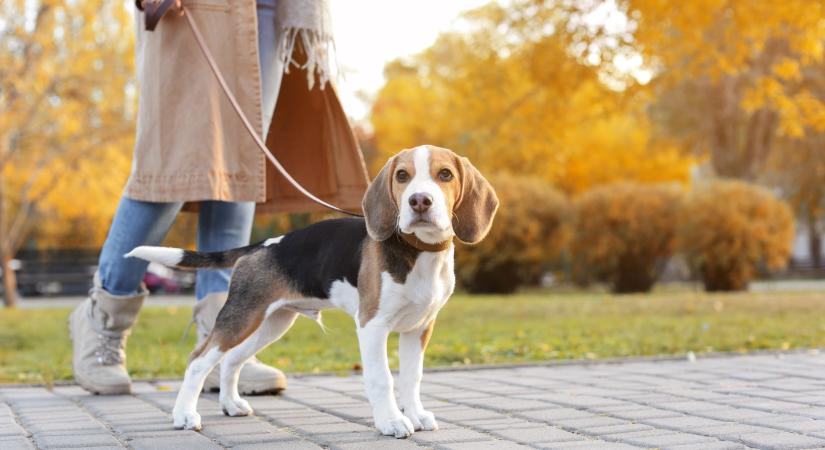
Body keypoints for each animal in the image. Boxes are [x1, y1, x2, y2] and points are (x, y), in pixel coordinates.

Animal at [126, 146, 498, 438]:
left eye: (445, 174)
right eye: (403, 176)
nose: (420, 201)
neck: (420, 251)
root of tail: (261, 245)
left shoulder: (419, 328)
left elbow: (412, 377)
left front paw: (416, 415)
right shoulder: (372, 326)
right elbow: (383, 379)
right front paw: (391, 422)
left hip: (269, 322)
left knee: (231, 359)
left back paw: (231, 404)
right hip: (240, 318)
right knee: (198, 360)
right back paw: (184, 415)